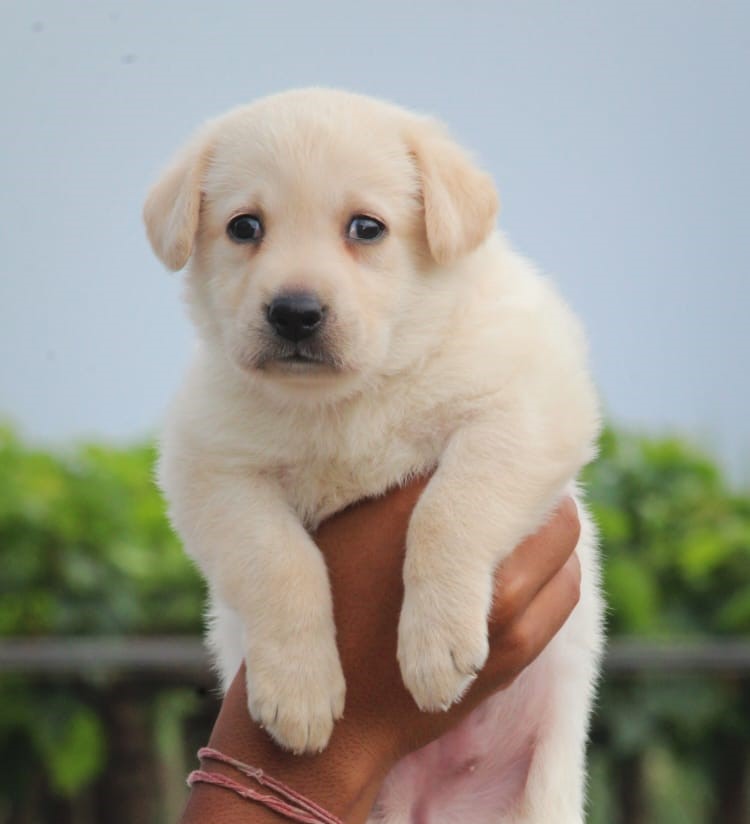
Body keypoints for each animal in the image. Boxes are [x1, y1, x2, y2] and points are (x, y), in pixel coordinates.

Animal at [145, 90, 604, 824]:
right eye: (244, 227)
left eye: (367, 228)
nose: (295, 312)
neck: (348, 399)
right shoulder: (210, 466)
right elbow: (277, 560)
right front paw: (299, 691)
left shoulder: (527, 405)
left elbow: (450, 508)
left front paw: (436, 643)